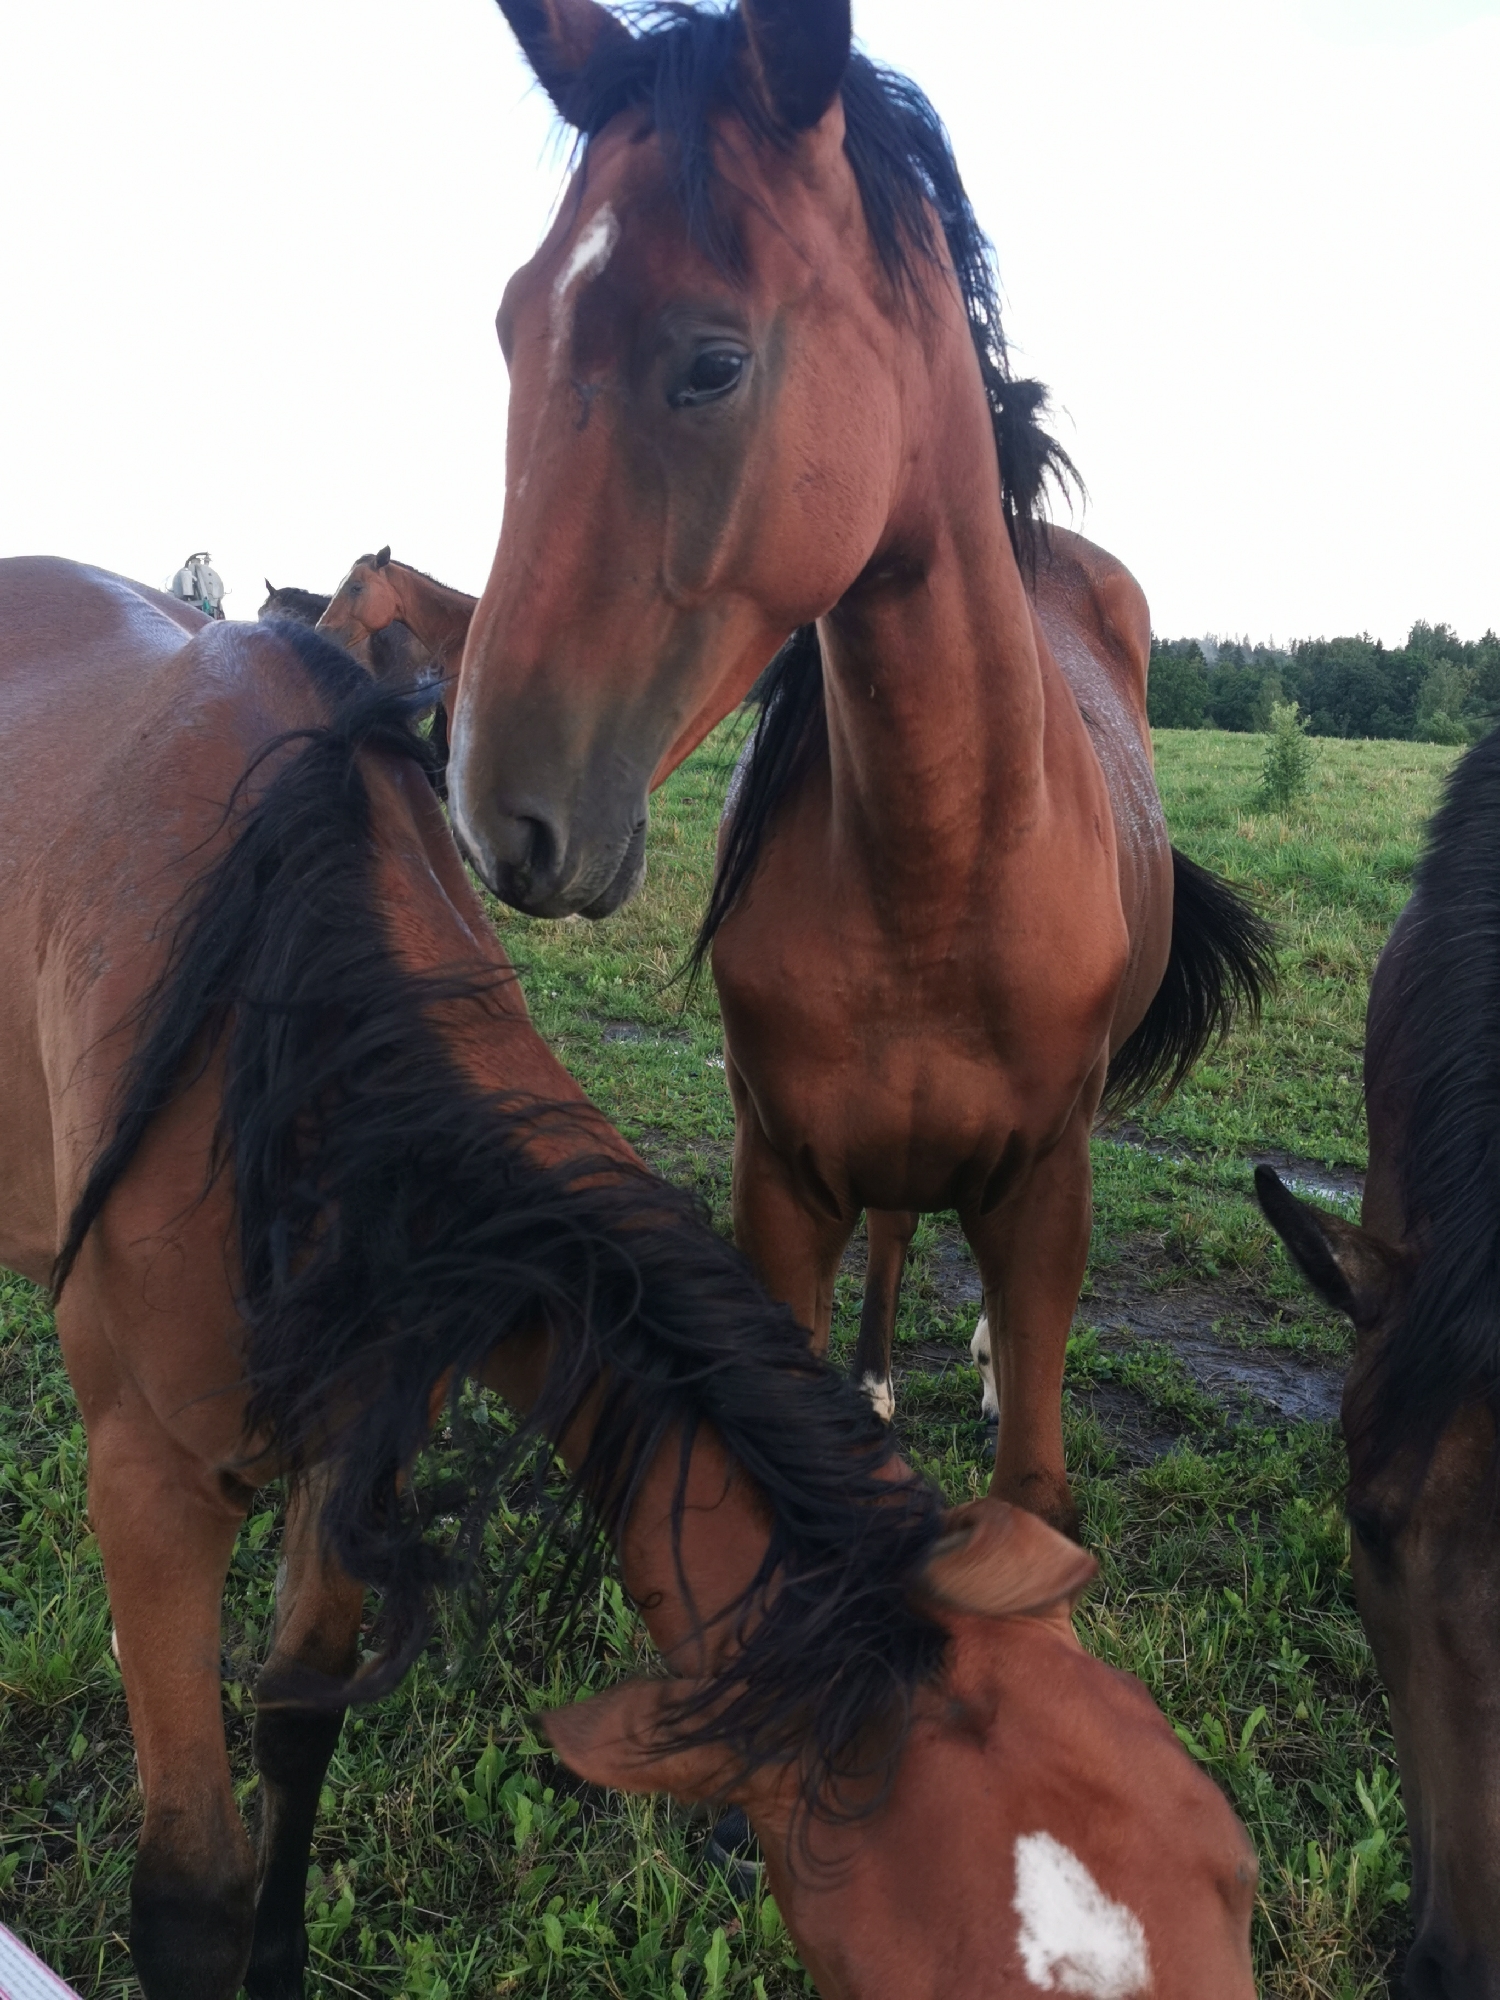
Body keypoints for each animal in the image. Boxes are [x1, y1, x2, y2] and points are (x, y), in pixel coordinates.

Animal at [445, 0, 1272, 1529]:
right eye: (513, 329)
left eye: (713, 361)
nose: (495, 818)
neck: (941, 862)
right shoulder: (782, 1187)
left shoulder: (1045, 1190)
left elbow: (1033, 1481)